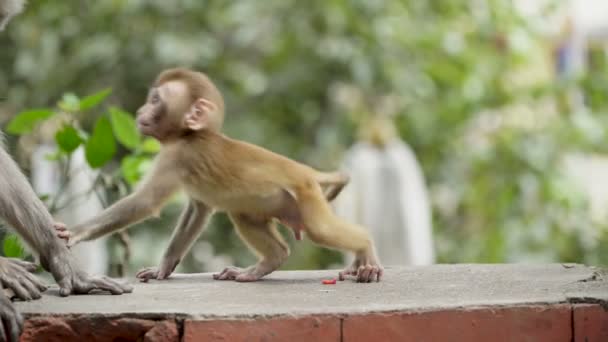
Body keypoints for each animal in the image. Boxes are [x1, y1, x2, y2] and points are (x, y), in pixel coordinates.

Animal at [57, 67, 380, 284]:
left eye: (155, 100)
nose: (139, 111)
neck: (189, 134)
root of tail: (306, 171)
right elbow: (198, 210)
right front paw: (164, 267)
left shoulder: (175, 157)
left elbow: (146, 202)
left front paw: (75, 231)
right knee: (244, 215)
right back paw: (267, 263)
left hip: (307, 195)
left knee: (320, 230)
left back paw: (365, 250)